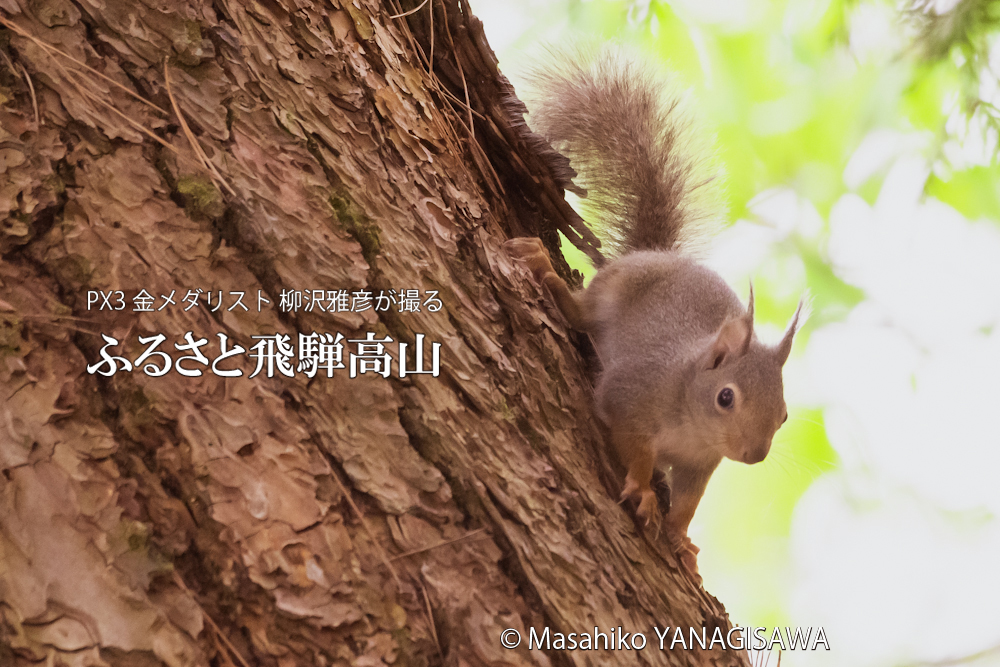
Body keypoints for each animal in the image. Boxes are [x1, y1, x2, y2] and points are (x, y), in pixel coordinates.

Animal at [504, 47, 800, 580]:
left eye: (784, 414)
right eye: (726, 398)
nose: (753, 456)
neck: (691, 421)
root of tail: (654, 253)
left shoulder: (700, 464)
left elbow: (687, 503)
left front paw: (681, 538)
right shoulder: (631, 396)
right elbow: (635, 447)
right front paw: (642, 489)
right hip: (607, 294)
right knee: (578, 311)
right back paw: (547, 272)